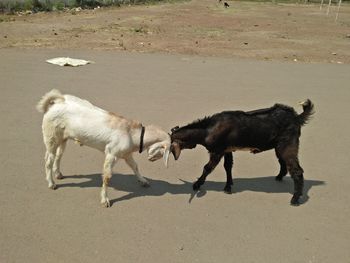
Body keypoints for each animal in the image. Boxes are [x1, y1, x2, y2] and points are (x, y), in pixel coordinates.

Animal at [37, 91, 171, 208]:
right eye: (163, 152)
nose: (152, 159)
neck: (132, 133)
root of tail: (56, 103)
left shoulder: (126, 154)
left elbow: (135, 166)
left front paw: (143, 181)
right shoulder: (111, 154)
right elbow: (107, 177)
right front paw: (105, 200)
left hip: (63, 138)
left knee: (58, 155)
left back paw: (58, 174)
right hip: (51, 137)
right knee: (49, 160)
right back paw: (51, 183)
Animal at [170, 99, 314, 206]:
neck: (207, 130)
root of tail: (296, 117)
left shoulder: (217, 151)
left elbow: (207, 168)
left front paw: (197, 184)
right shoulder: (227, 150)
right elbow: (228, 166)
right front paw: (228, 187)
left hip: (288, 144)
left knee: (296, 170)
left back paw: (295, 199)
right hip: (279, 146)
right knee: (282, 161)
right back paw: (279, 177)